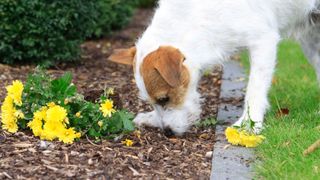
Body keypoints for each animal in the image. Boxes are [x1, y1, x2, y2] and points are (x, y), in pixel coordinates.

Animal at [109, 0, 320, 135]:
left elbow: (254, 90)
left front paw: (249, 124)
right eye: (152, 102)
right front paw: (151, 118)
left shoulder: (263, 41)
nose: (167, 133)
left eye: (164, 98)